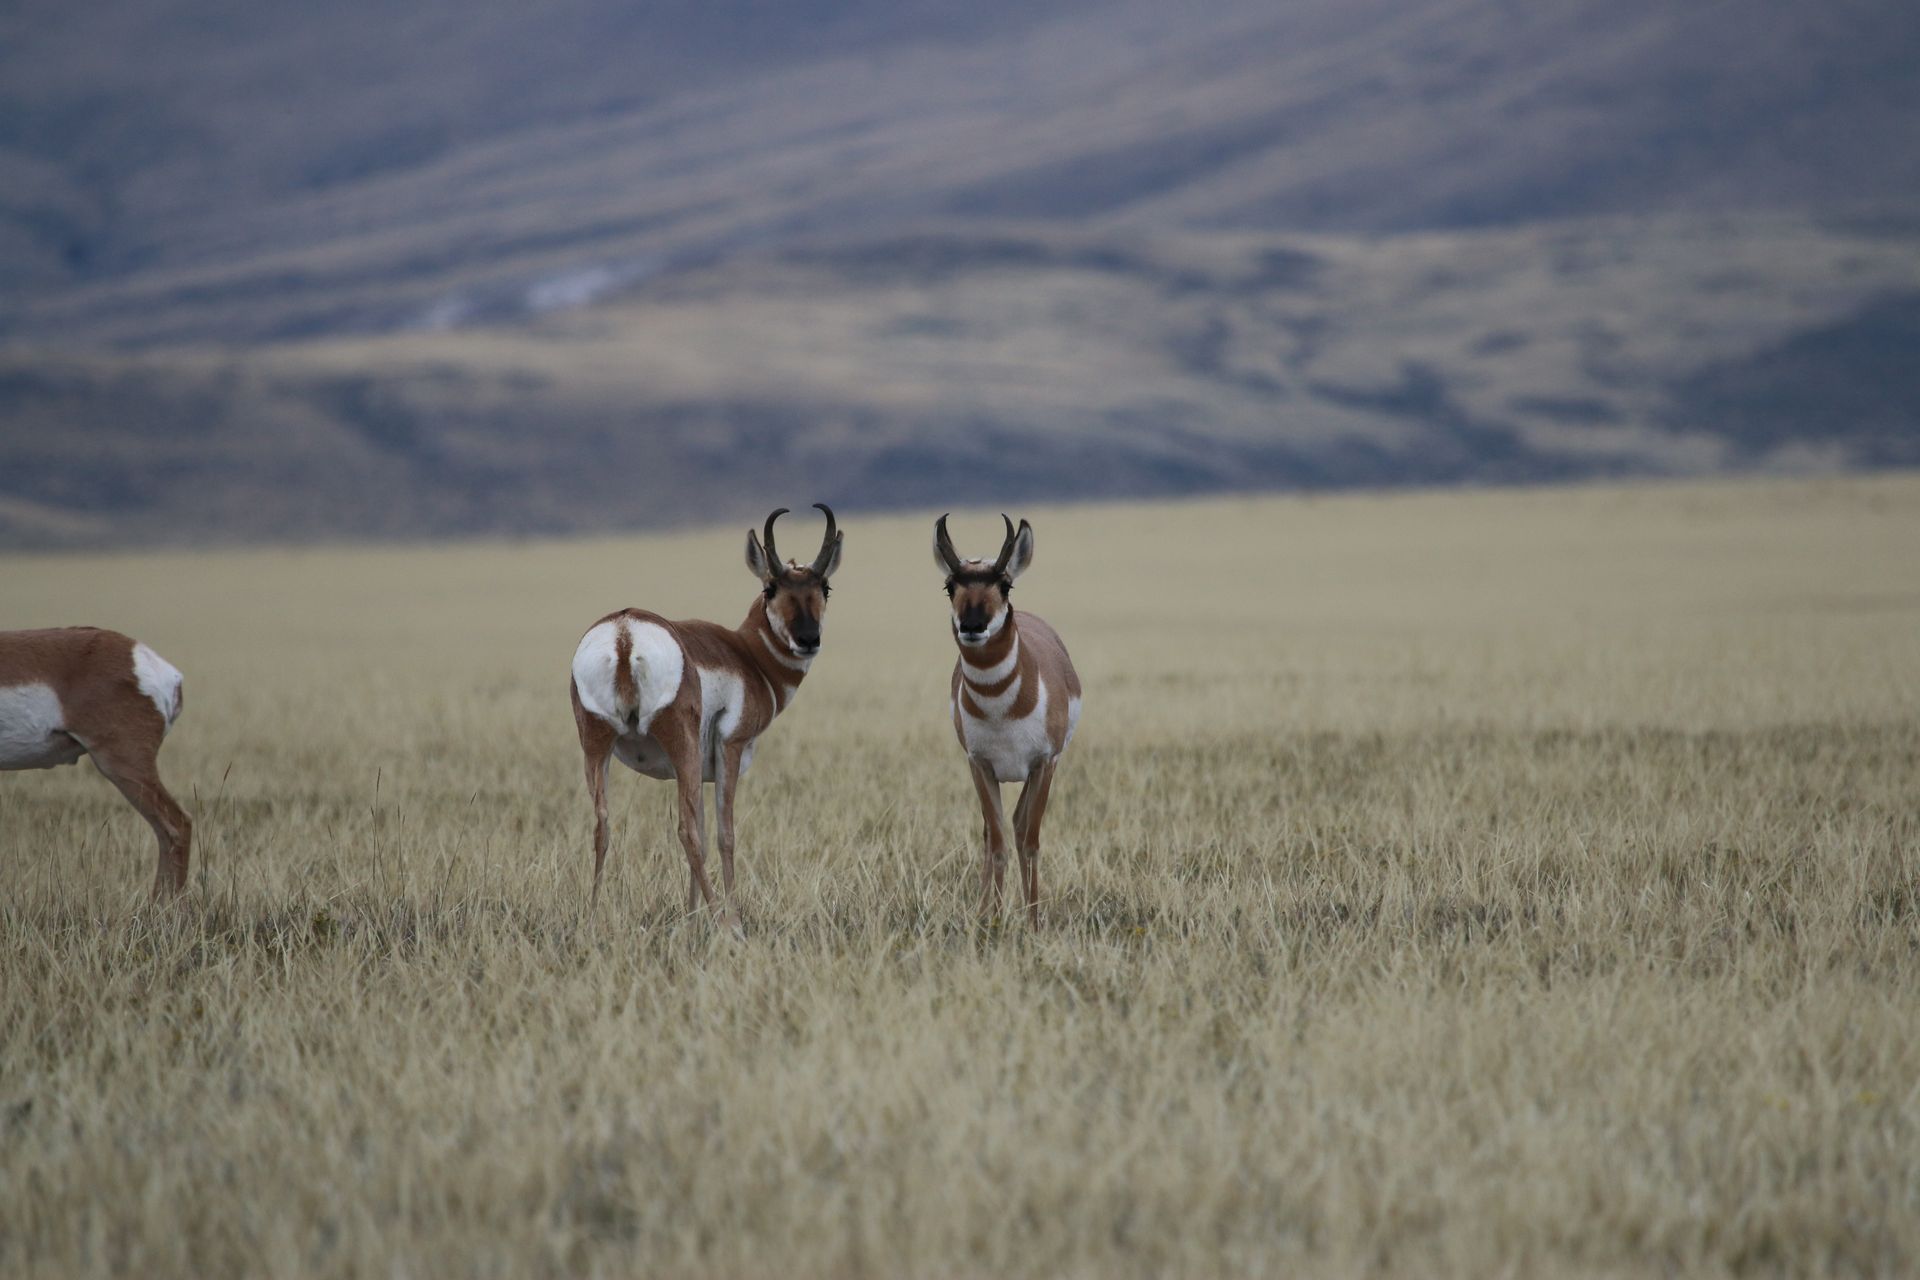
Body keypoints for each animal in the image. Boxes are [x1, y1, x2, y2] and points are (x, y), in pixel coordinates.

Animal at [569, 504, 843, 930]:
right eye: (770, 588)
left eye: (824, 587)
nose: (808, 639)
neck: (745, 655)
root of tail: (624, 632)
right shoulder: (729, 749)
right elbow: (723, 834)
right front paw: (730, 917)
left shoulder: (697, 771)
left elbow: (700, 824)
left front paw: (691, 915)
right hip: (678, 744)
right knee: (686, 831)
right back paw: (725, 923)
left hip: (596, 747)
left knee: (603, 825)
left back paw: (594, 918)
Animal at [934, 514, 1080, 925]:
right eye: (951, 586)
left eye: (1004, 584)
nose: (972, 625)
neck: (1001, 709)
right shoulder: (980, 766)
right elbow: (996, 842)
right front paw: (994, 920)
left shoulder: (1044, 764)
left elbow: (1029, 841)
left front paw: (1033, 921)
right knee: (994, 831)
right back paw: (984, 910)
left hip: (1033, 774)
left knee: (1017, 826)